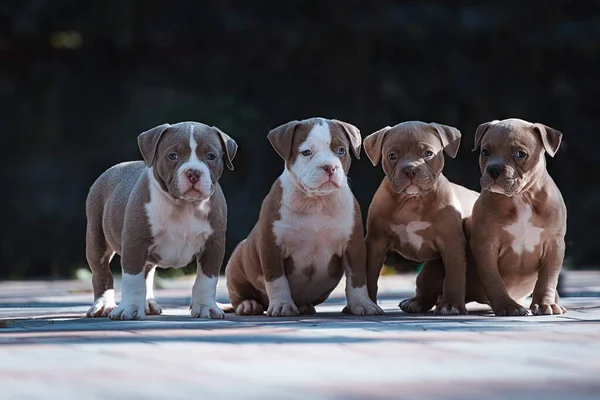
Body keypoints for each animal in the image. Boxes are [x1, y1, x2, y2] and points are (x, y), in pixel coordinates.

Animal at [84, 120, 237, 320]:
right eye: (172, 156)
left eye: (211, 156)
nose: (194, 172)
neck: (185, 205)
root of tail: (115, 168)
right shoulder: (135, 243)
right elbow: (132, 280)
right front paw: (130, 308)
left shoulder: (213, 245)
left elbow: (206, 279)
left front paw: (205, 307)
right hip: (97, 237)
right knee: (102, 272)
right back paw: (103, 304)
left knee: (147, 273)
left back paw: (148, 303)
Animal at [225, 117, 384, 318]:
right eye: (306, 152)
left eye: (341, 150)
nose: (329, 167)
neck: (316, 202)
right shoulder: (271, 246)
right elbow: (277, 280)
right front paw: (282, 305)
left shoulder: (354, 246)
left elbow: (356, 279)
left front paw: (362, 304)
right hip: (237, 262)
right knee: (239, 295)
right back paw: (249, 305)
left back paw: (304, 306)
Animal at [364, 120, 480, 314]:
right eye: (392, 156)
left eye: (428, 154)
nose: (410, 170)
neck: (412, 201)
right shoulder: (376, 241)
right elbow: (370, 275)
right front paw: (368, 303)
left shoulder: (452, 242)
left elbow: (454, 276)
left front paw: (451, 305)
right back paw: (415, 302)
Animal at [468, 118, 568, 316]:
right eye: (485, 152)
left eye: (520, 154)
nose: (494, 169)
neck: (521, 197)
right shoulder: (486, 246)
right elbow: (493, 278)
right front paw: (507, 306)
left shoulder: (554, 245)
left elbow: (548, 279)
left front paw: (545, 304)